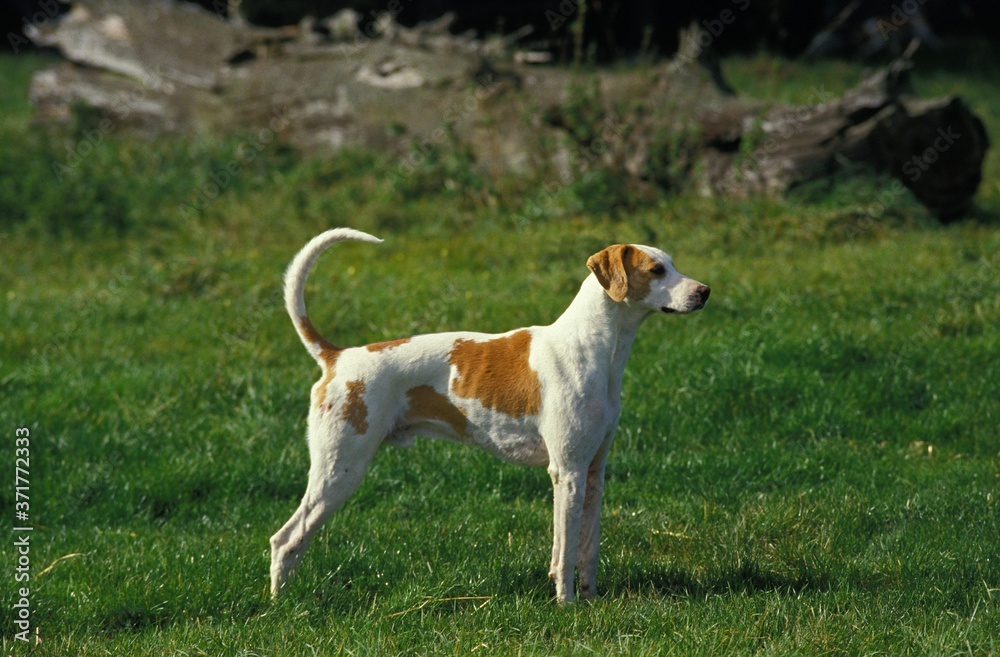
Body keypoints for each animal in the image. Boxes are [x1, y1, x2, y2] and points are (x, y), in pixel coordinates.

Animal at [272, 228, 712, 604]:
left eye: (672, 264)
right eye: (656, 270)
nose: (705, 291)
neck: (591, 348)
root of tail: (337, 356)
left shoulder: (593, 471)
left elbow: (588, 550)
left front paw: (590, 600)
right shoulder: (566, 472)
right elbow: (565, 552)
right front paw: (567, 605)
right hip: (339, 470)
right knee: (286, 540)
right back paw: (282, 607)